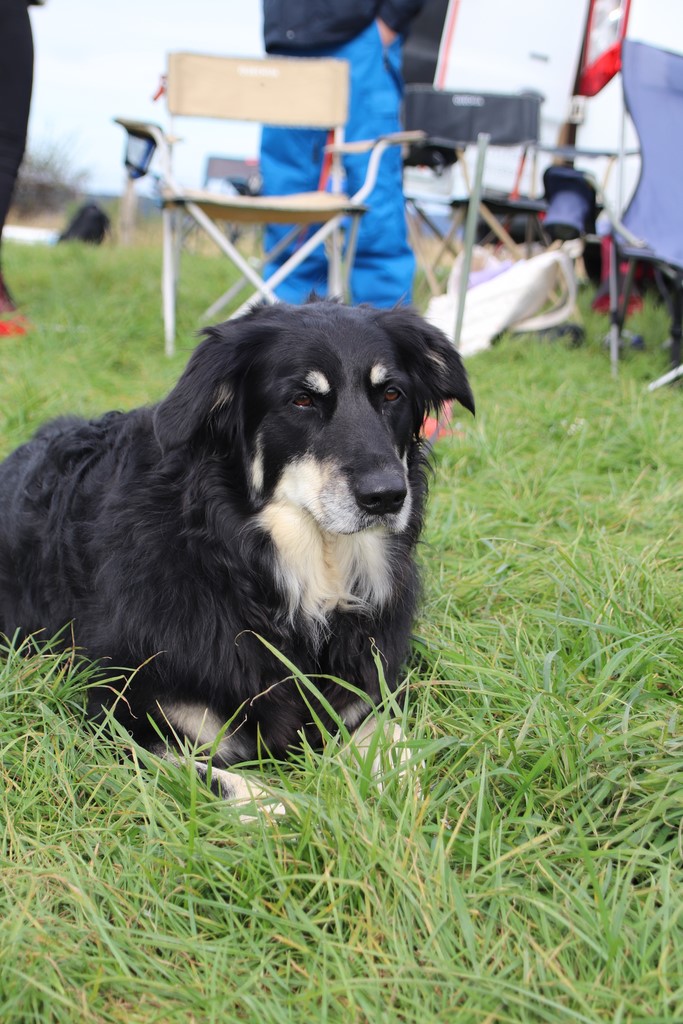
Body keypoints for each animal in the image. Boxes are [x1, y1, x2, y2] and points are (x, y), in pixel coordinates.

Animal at [0, 300, 473, 802]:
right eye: (301, 400)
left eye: (392, 394)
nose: (387, 497)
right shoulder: (119, 714)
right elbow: (233, 788)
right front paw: (296, 810)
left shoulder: (374, 689)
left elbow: (397, 747)